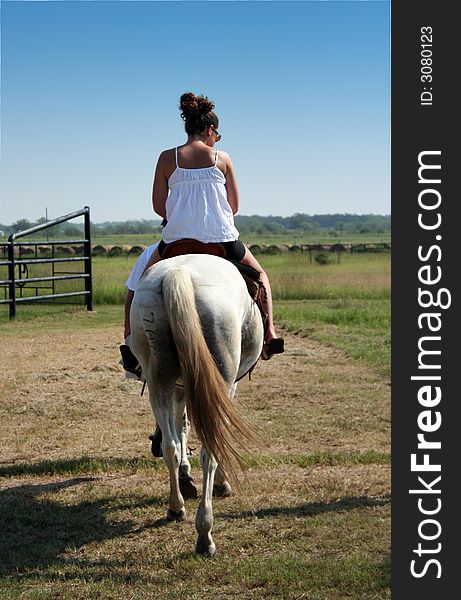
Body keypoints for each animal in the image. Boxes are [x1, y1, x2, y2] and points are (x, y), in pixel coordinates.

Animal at [131, 253, 264, 556]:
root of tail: (178, 274)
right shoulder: (228, 387)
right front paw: (222, 482)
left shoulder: (182, 388)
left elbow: (180, 429)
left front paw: (185, 475)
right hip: (221, 375)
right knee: (210, 449)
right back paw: (205, 533)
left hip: (159, 379)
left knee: (170, 446)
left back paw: (176, 507)